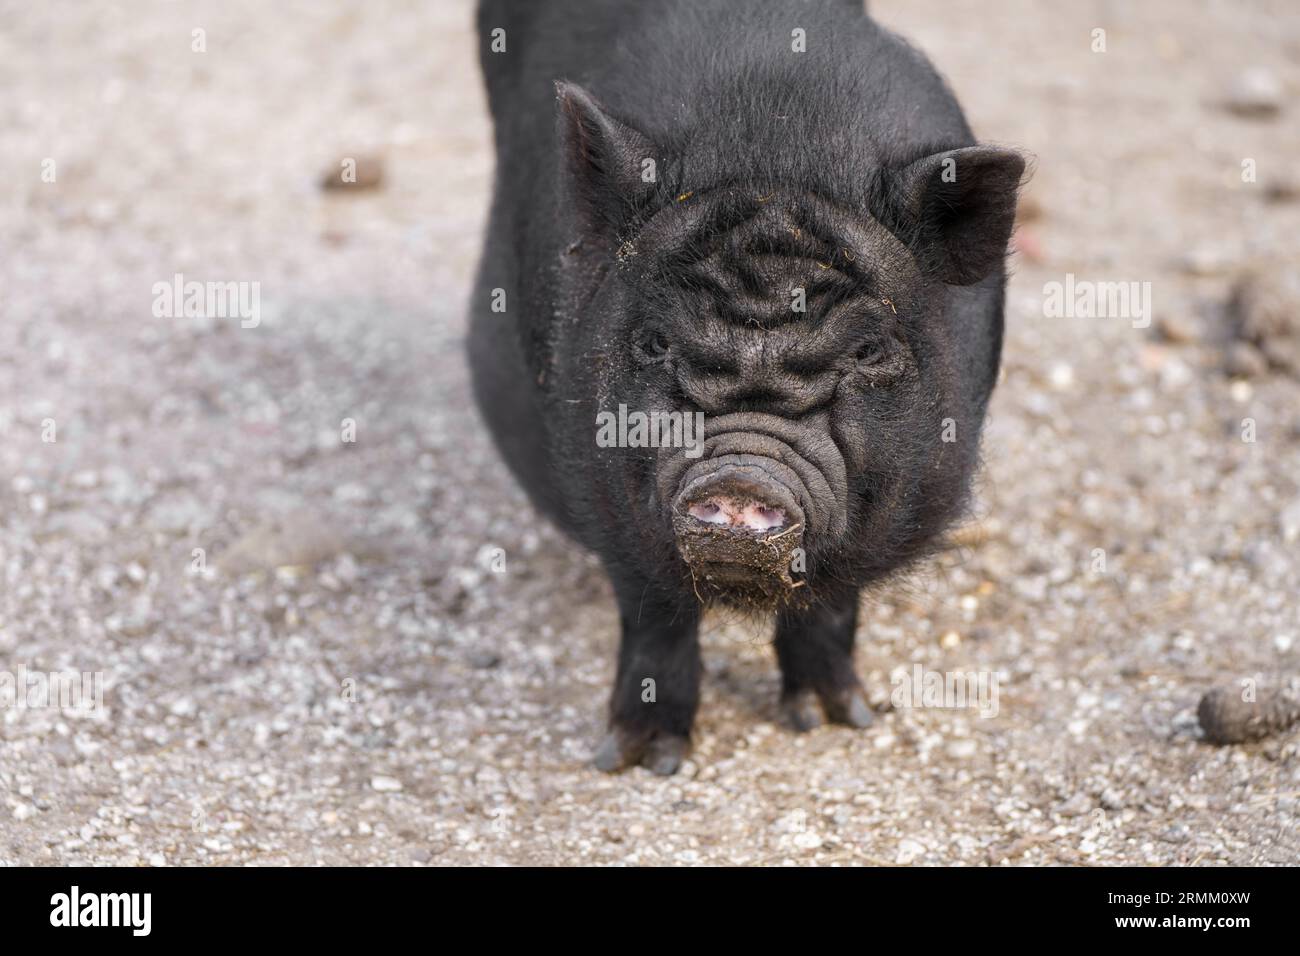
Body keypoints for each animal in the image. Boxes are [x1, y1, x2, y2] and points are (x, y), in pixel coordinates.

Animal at [469, 0, 1025, 774]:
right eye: (655, 342)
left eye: (867, 349)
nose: (740, 472)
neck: (776, 149)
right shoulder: (604, 491)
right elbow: (653, 613)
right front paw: (637, 760)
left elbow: (831, 604)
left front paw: (833, 721)